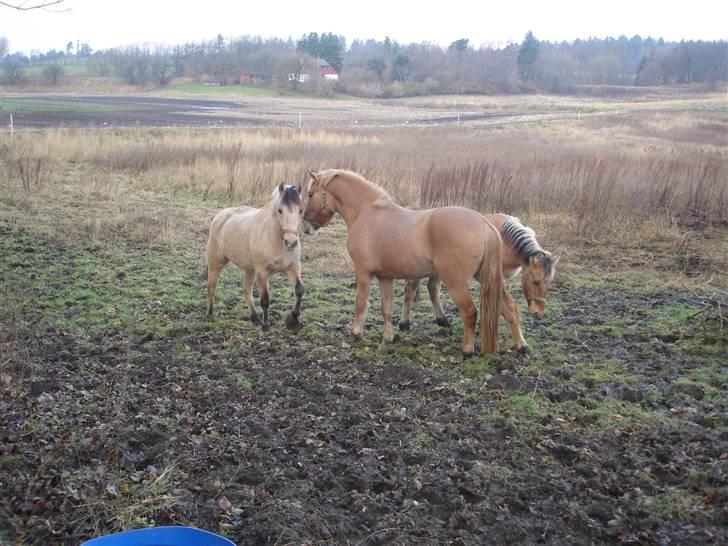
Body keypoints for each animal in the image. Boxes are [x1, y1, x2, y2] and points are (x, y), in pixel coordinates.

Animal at [206, 181, 306, 330]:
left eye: (300, 210)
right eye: (280, 210)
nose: (291, 242)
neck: (275, 241)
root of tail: (220, 216)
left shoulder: (293, 267)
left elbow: (299, 290)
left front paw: (292, 320)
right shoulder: (262, 272)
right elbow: (265, 300)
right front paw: (266, 325)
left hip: (250, 269)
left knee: (246, 290)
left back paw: (255, 318)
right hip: (215, 263)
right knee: (212, 287)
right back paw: (210, 315)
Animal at [304, 168, 516, 352]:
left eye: (310, 194)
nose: (306, 227)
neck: (367, 213)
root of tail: (484, 224)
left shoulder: (363, 273)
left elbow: (361, 303)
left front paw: (356, 334)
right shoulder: (385, 277)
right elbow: (386, 308)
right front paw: (388, 337)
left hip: (457, 283)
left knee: (470, 313)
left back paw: (467, 350)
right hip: (485, 277)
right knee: (509, 307)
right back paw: (520, 346)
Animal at [400, 210, 560, 350]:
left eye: (548, 282)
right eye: (535, 281)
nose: (538, 312)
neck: (505, 239)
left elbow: (508, 306)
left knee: (432, 287)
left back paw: (442, 320)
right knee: (410, 290)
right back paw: (404, 323)